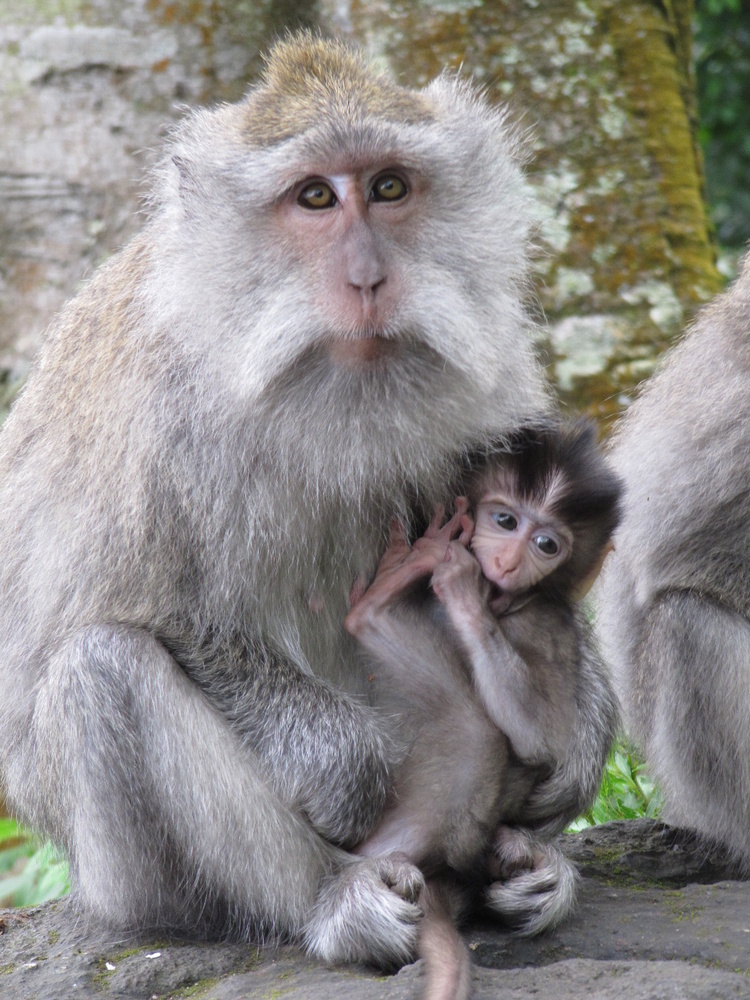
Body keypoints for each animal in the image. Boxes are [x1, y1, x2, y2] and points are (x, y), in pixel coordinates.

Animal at [0, 31, 576, 964]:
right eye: (314, 197)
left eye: (388, 187)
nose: (370, 277)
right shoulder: (159, 416)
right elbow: (115, 614)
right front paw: (344, 767)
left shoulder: (488, 382)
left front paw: (578, 747)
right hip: (117, 876)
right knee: (102, 670)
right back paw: (333, 901)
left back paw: (520, 863)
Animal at [346, 420, 624, 1000]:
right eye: (505, 520)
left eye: (546, 544)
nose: (508, 561)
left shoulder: (549, 622)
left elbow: (542, 738)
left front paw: (462, 586)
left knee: (479, 736)